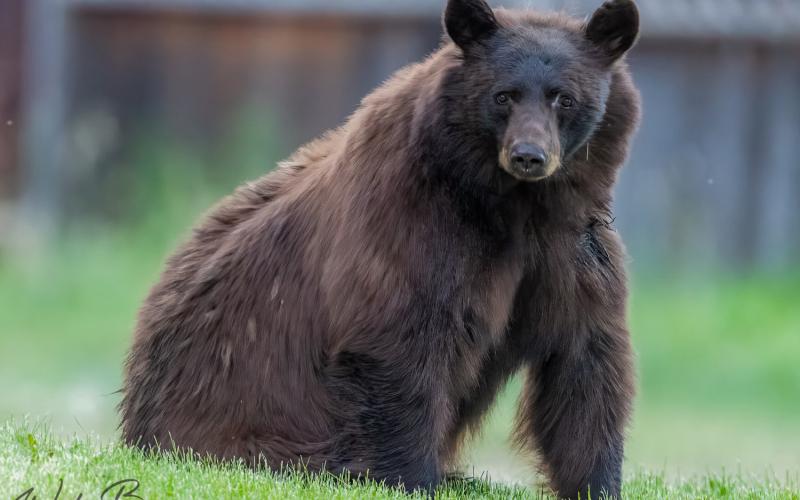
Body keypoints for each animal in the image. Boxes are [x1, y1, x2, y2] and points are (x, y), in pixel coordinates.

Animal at [120, 0, 641, 498]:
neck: (513, 206)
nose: (529, 156)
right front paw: (411, 477)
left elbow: (585, 360)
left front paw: (596, 482)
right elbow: (401, 342)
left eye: (564, 97)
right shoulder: (416, 223)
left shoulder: (571, 247)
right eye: (504, 95)